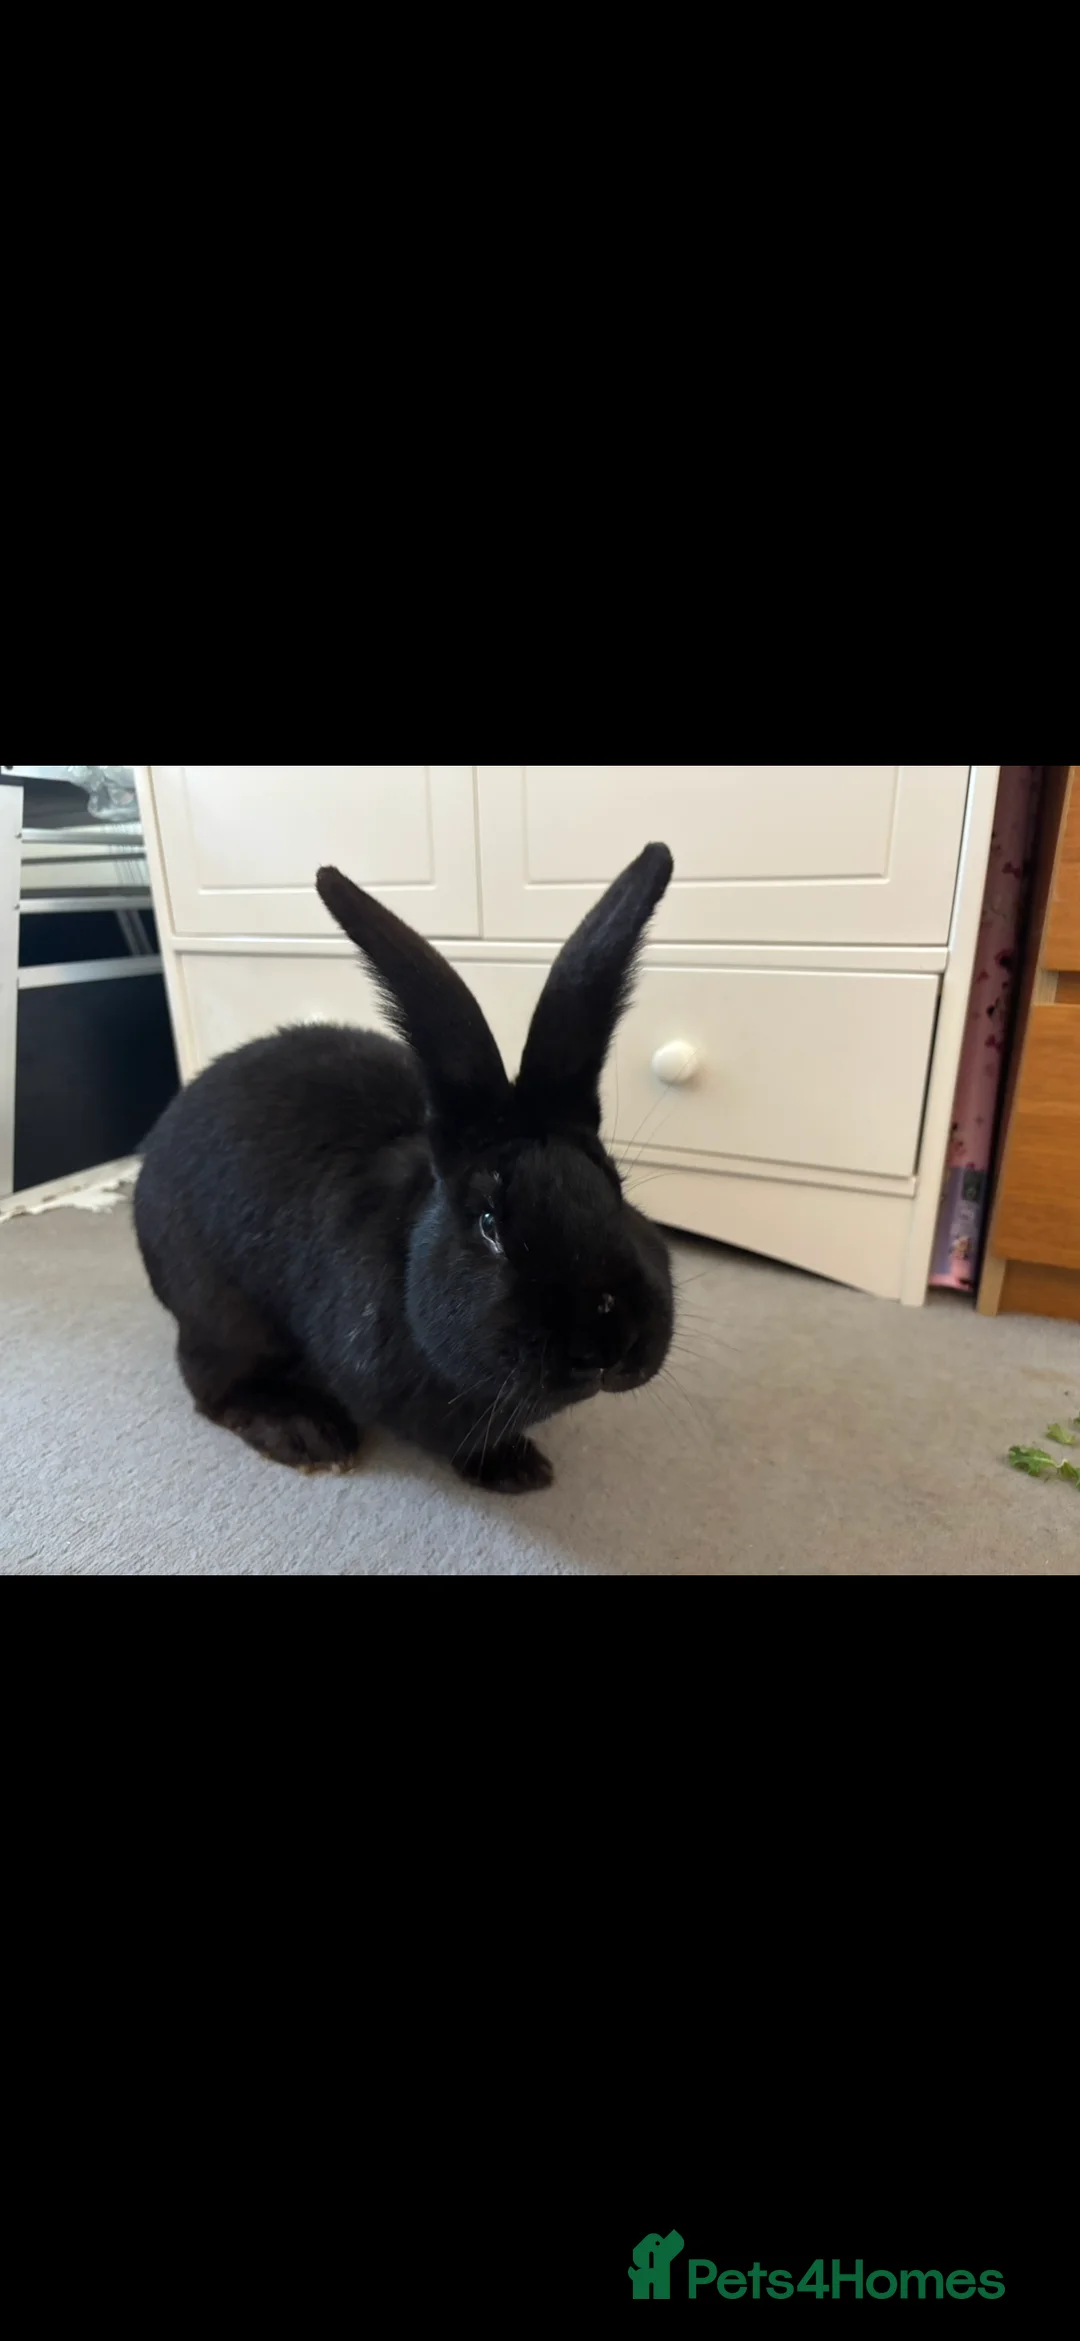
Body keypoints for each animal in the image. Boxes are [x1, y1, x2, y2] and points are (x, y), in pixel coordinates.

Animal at [134, 841, 676, 1494]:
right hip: (223, 1315)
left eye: (616, 1190)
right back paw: (308, 1434)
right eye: (490, 1224)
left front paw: (517, 1466)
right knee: (211, 1384)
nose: (608, 1341)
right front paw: (516, 1468)